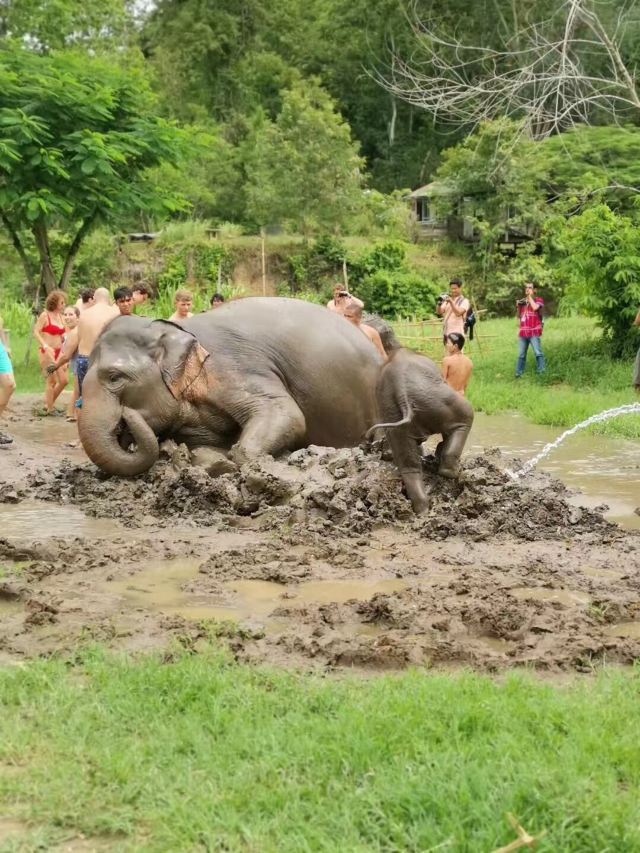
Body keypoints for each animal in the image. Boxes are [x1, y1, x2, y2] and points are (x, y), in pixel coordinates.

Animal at [367, 348, 474, 514]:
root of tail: (402, 391)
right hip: (438, 400)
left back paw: (422, 510)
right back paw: (452, 472)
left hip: (394, 414)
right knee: (466, 417)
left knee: (409, 467)